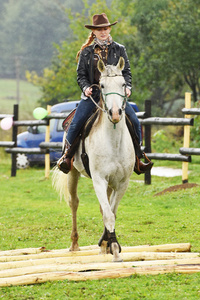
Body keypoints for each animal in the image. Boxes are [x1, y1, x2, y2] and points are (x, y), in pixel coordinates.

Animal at [52, 56, 135, 262]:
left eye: (123, 84)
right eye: (102, 85)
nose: (115, 113)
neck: (113, 142)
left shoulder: (121, 183)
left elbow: (111, 212)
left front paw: (109, 245)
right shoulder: (98, 180)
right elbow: (108, 215)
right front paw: (115, 249)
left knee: (102, 207)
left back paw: (103, 246)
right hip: (73, 173)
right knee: (74, 202)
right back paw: (74, 245)